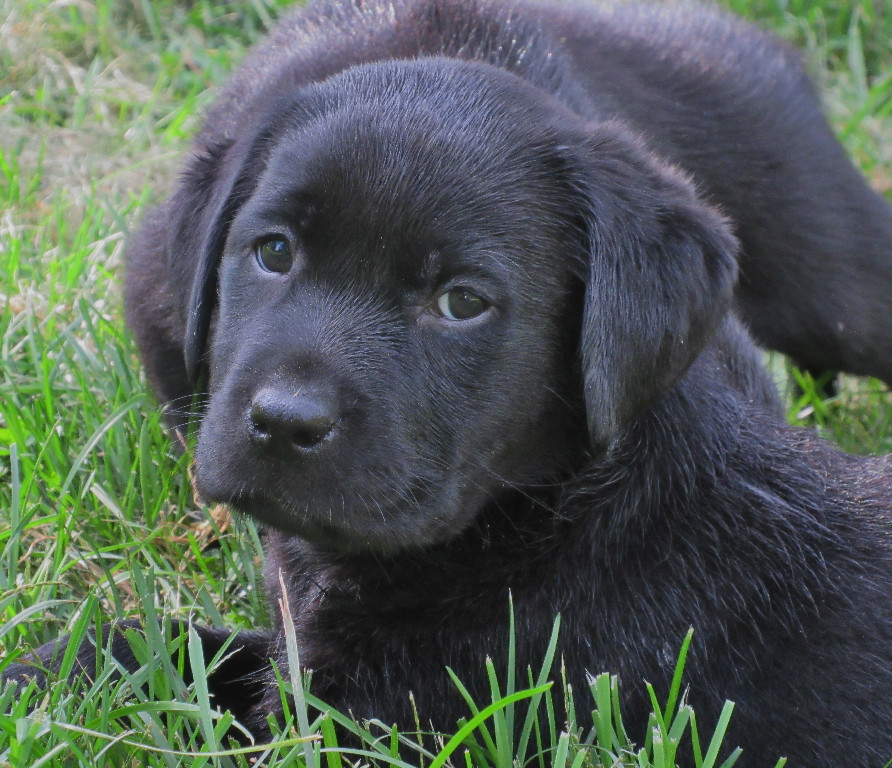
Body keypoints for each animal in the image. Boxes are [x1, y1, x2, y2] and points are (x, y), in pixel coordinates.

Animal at [8, 0, 892, 764]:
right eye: (274, 251)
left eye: (462, 302)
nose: (284, 422)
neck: (547, 518)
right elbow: (169, 646)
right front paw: (35, 674)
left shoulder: (379, 725)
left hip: (835, 286)